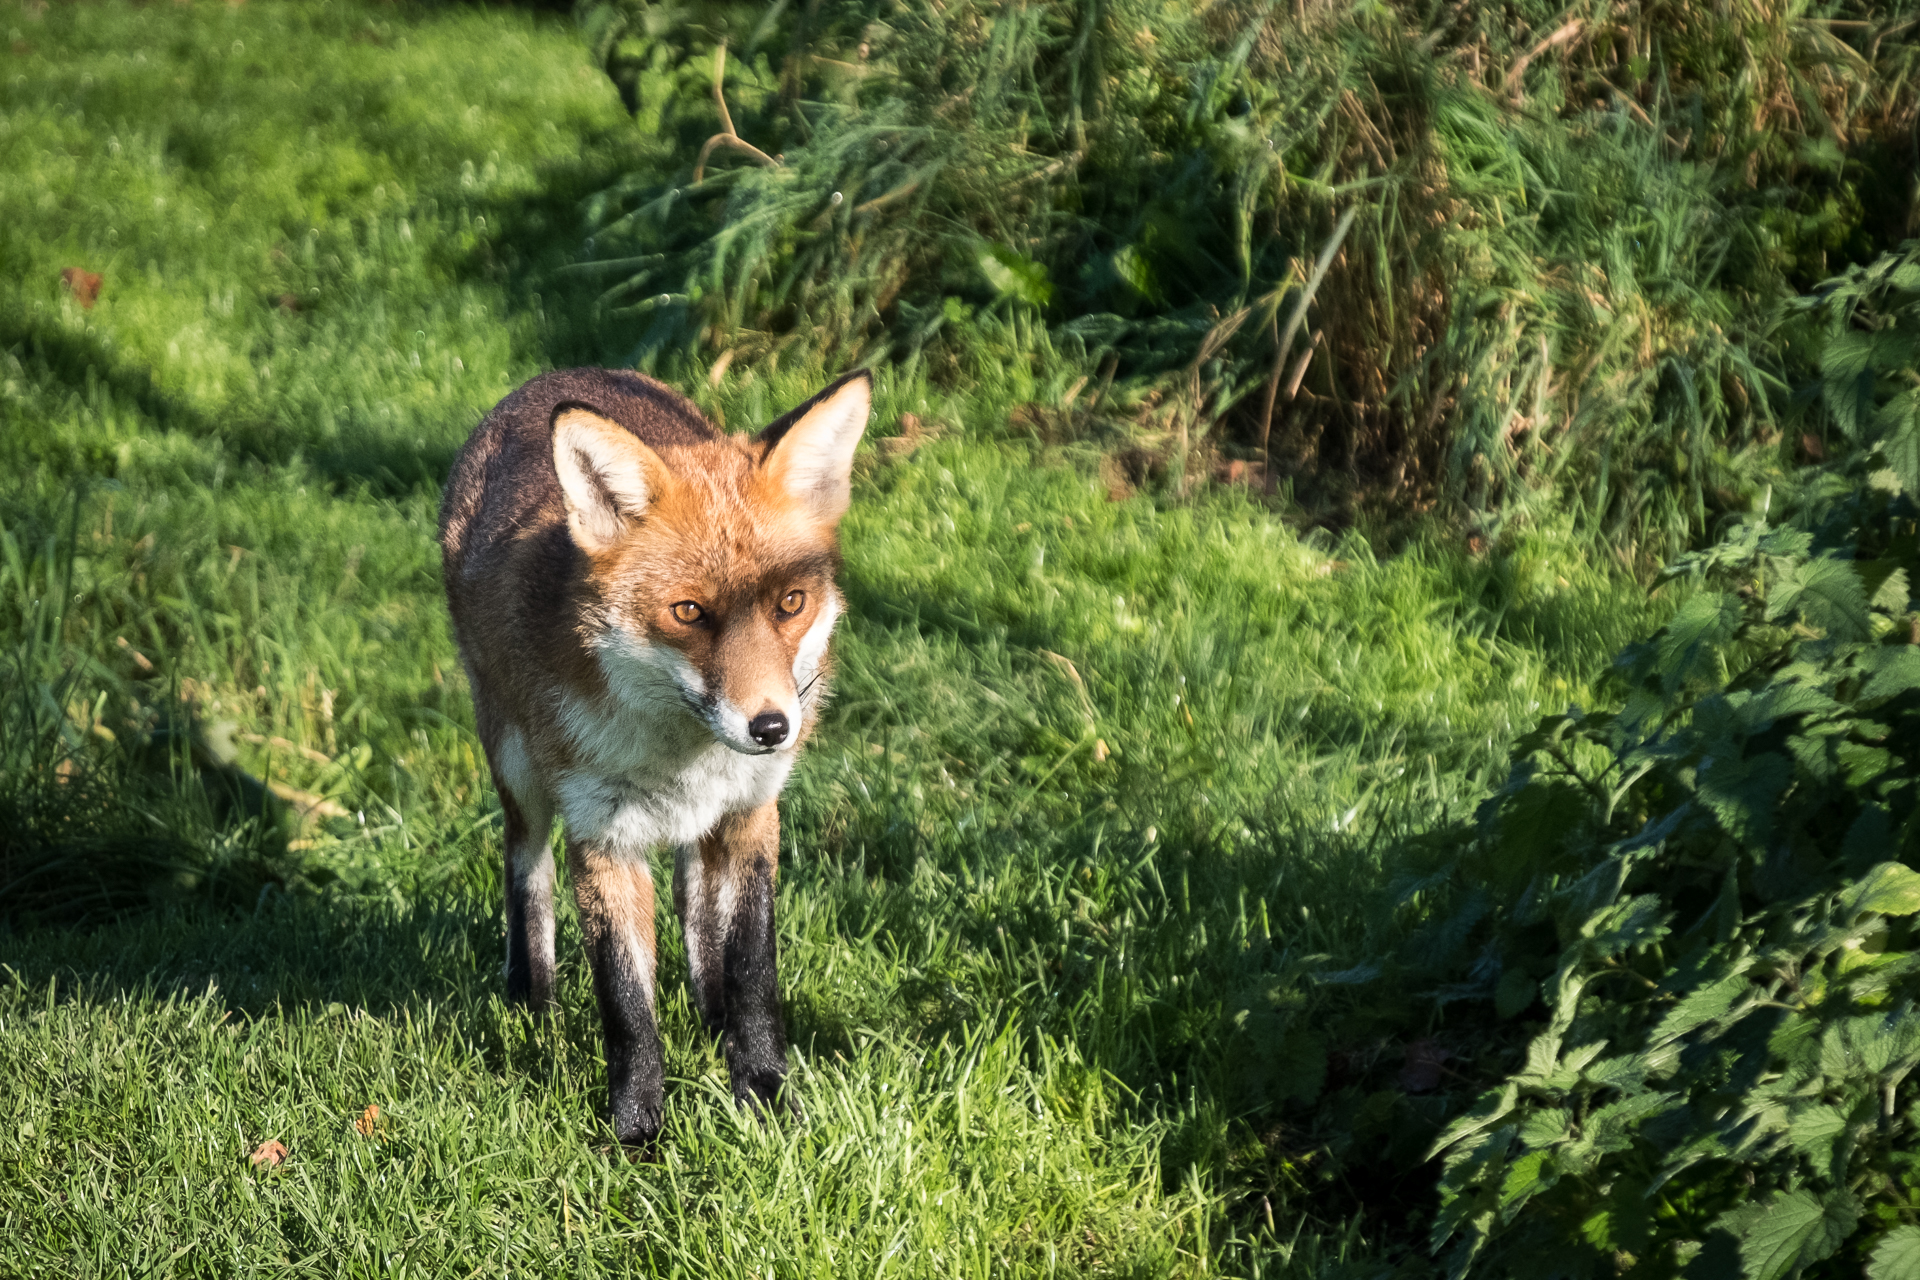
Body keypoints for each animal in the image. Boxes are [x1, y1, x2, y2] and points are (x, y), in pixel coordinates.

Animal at [437, 366, 870, 1146]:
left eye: (791, 603)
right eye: (688, 612)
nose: (772, 727)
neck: (683, 758)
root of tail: (563, 374)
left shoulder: (752, 813)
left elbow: (752, 970)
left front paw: (765, 1097)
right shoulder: (602, 839)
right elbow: (627, 1007)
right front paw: (638, 1135)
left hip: (703, 833)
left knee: (697, 908)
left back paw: (711, 1018)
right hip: (518, 771)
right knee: (525, 866)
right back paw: (532, 1004)